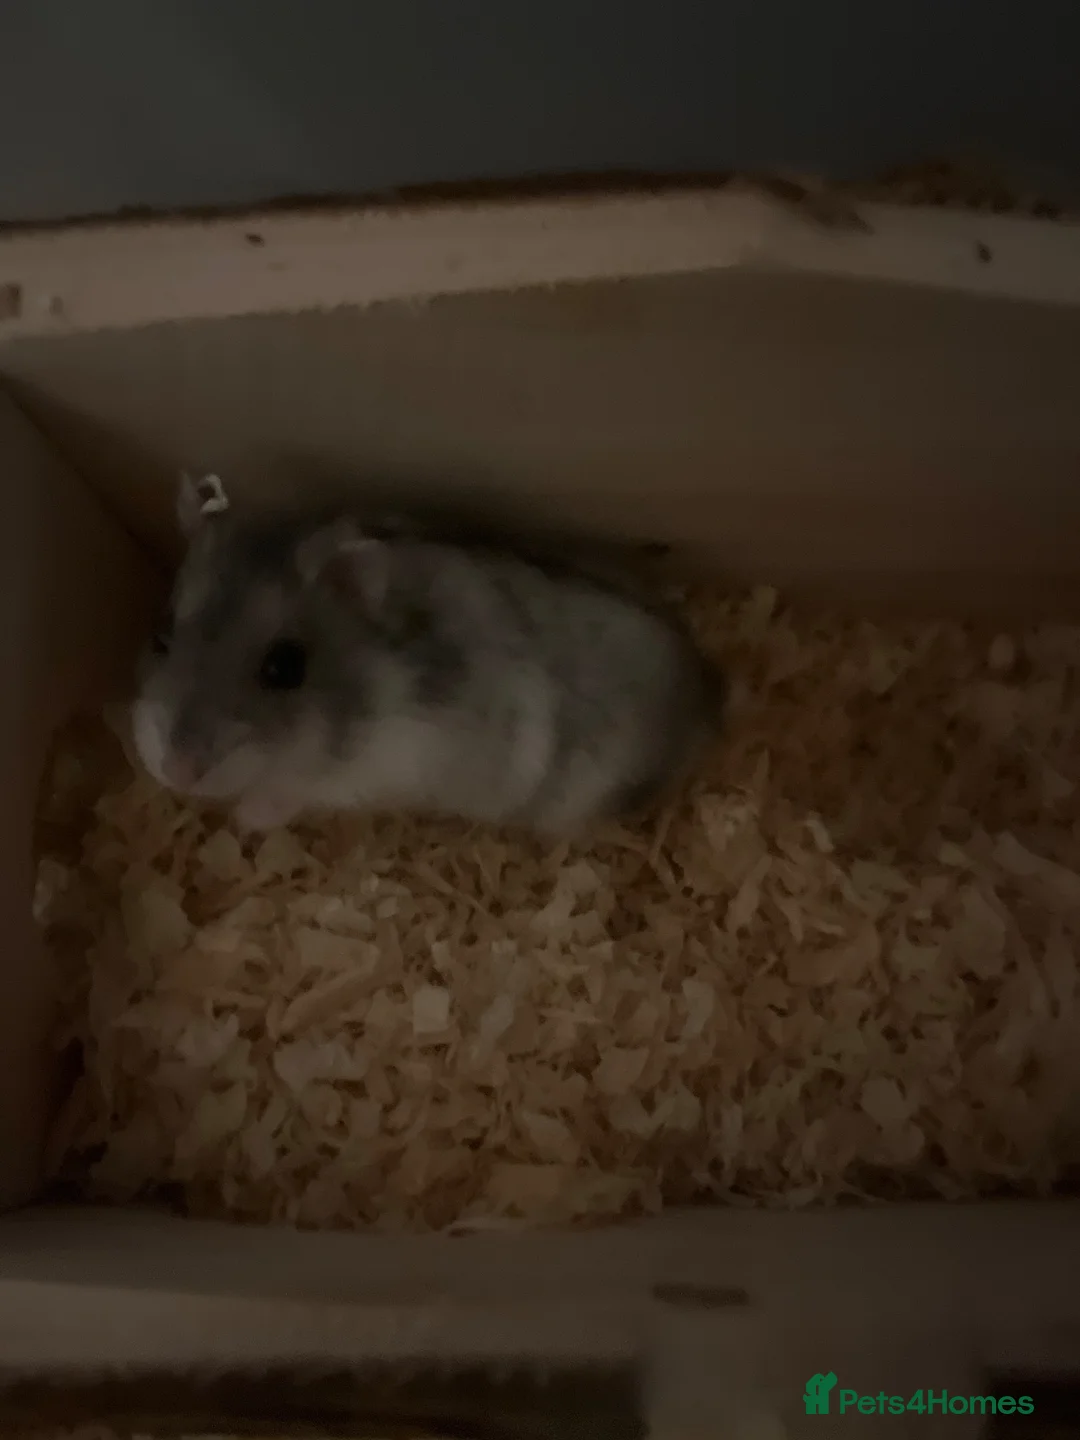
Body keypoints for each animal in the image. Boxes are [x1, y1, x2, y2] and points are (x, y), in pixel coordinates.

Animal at [131, 472, 724, 836]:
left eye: (285, 667)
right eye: (160, 634)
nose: (176, 772)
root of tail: (710, 693)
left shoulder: (378, 769)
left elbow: (296, 790)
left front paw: (246, 819)